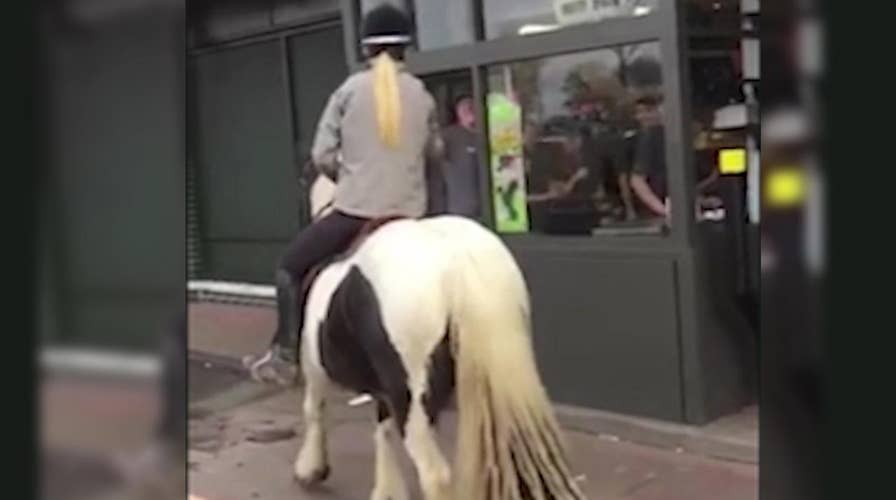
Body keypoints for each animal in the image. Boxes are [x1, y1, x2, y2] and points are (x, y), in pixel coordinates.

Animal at [296, 174, 588, 498]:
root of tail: (455, 259)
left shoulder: (315, 365)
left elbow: (314, 409)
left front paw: (311, 468)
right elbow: (382, 428)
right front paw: (387, 489)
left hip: (412, 389)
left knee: (434, 473)